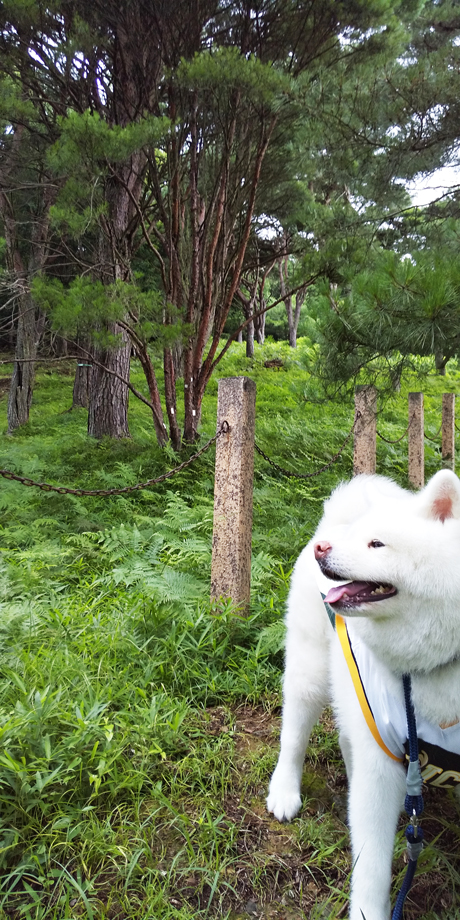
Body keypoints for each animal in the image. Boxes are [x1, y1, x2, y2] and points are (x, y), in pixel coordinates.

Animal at [268, 470, 460, 916]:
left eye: (377, 543)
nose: (323, 550)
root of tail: (332, 519)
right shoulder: (385, 756)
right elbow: (371, 865)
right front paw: (368, 912)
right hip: (309, 675)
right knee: (293, 738)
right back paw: (284, 791)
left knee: (347, 738)